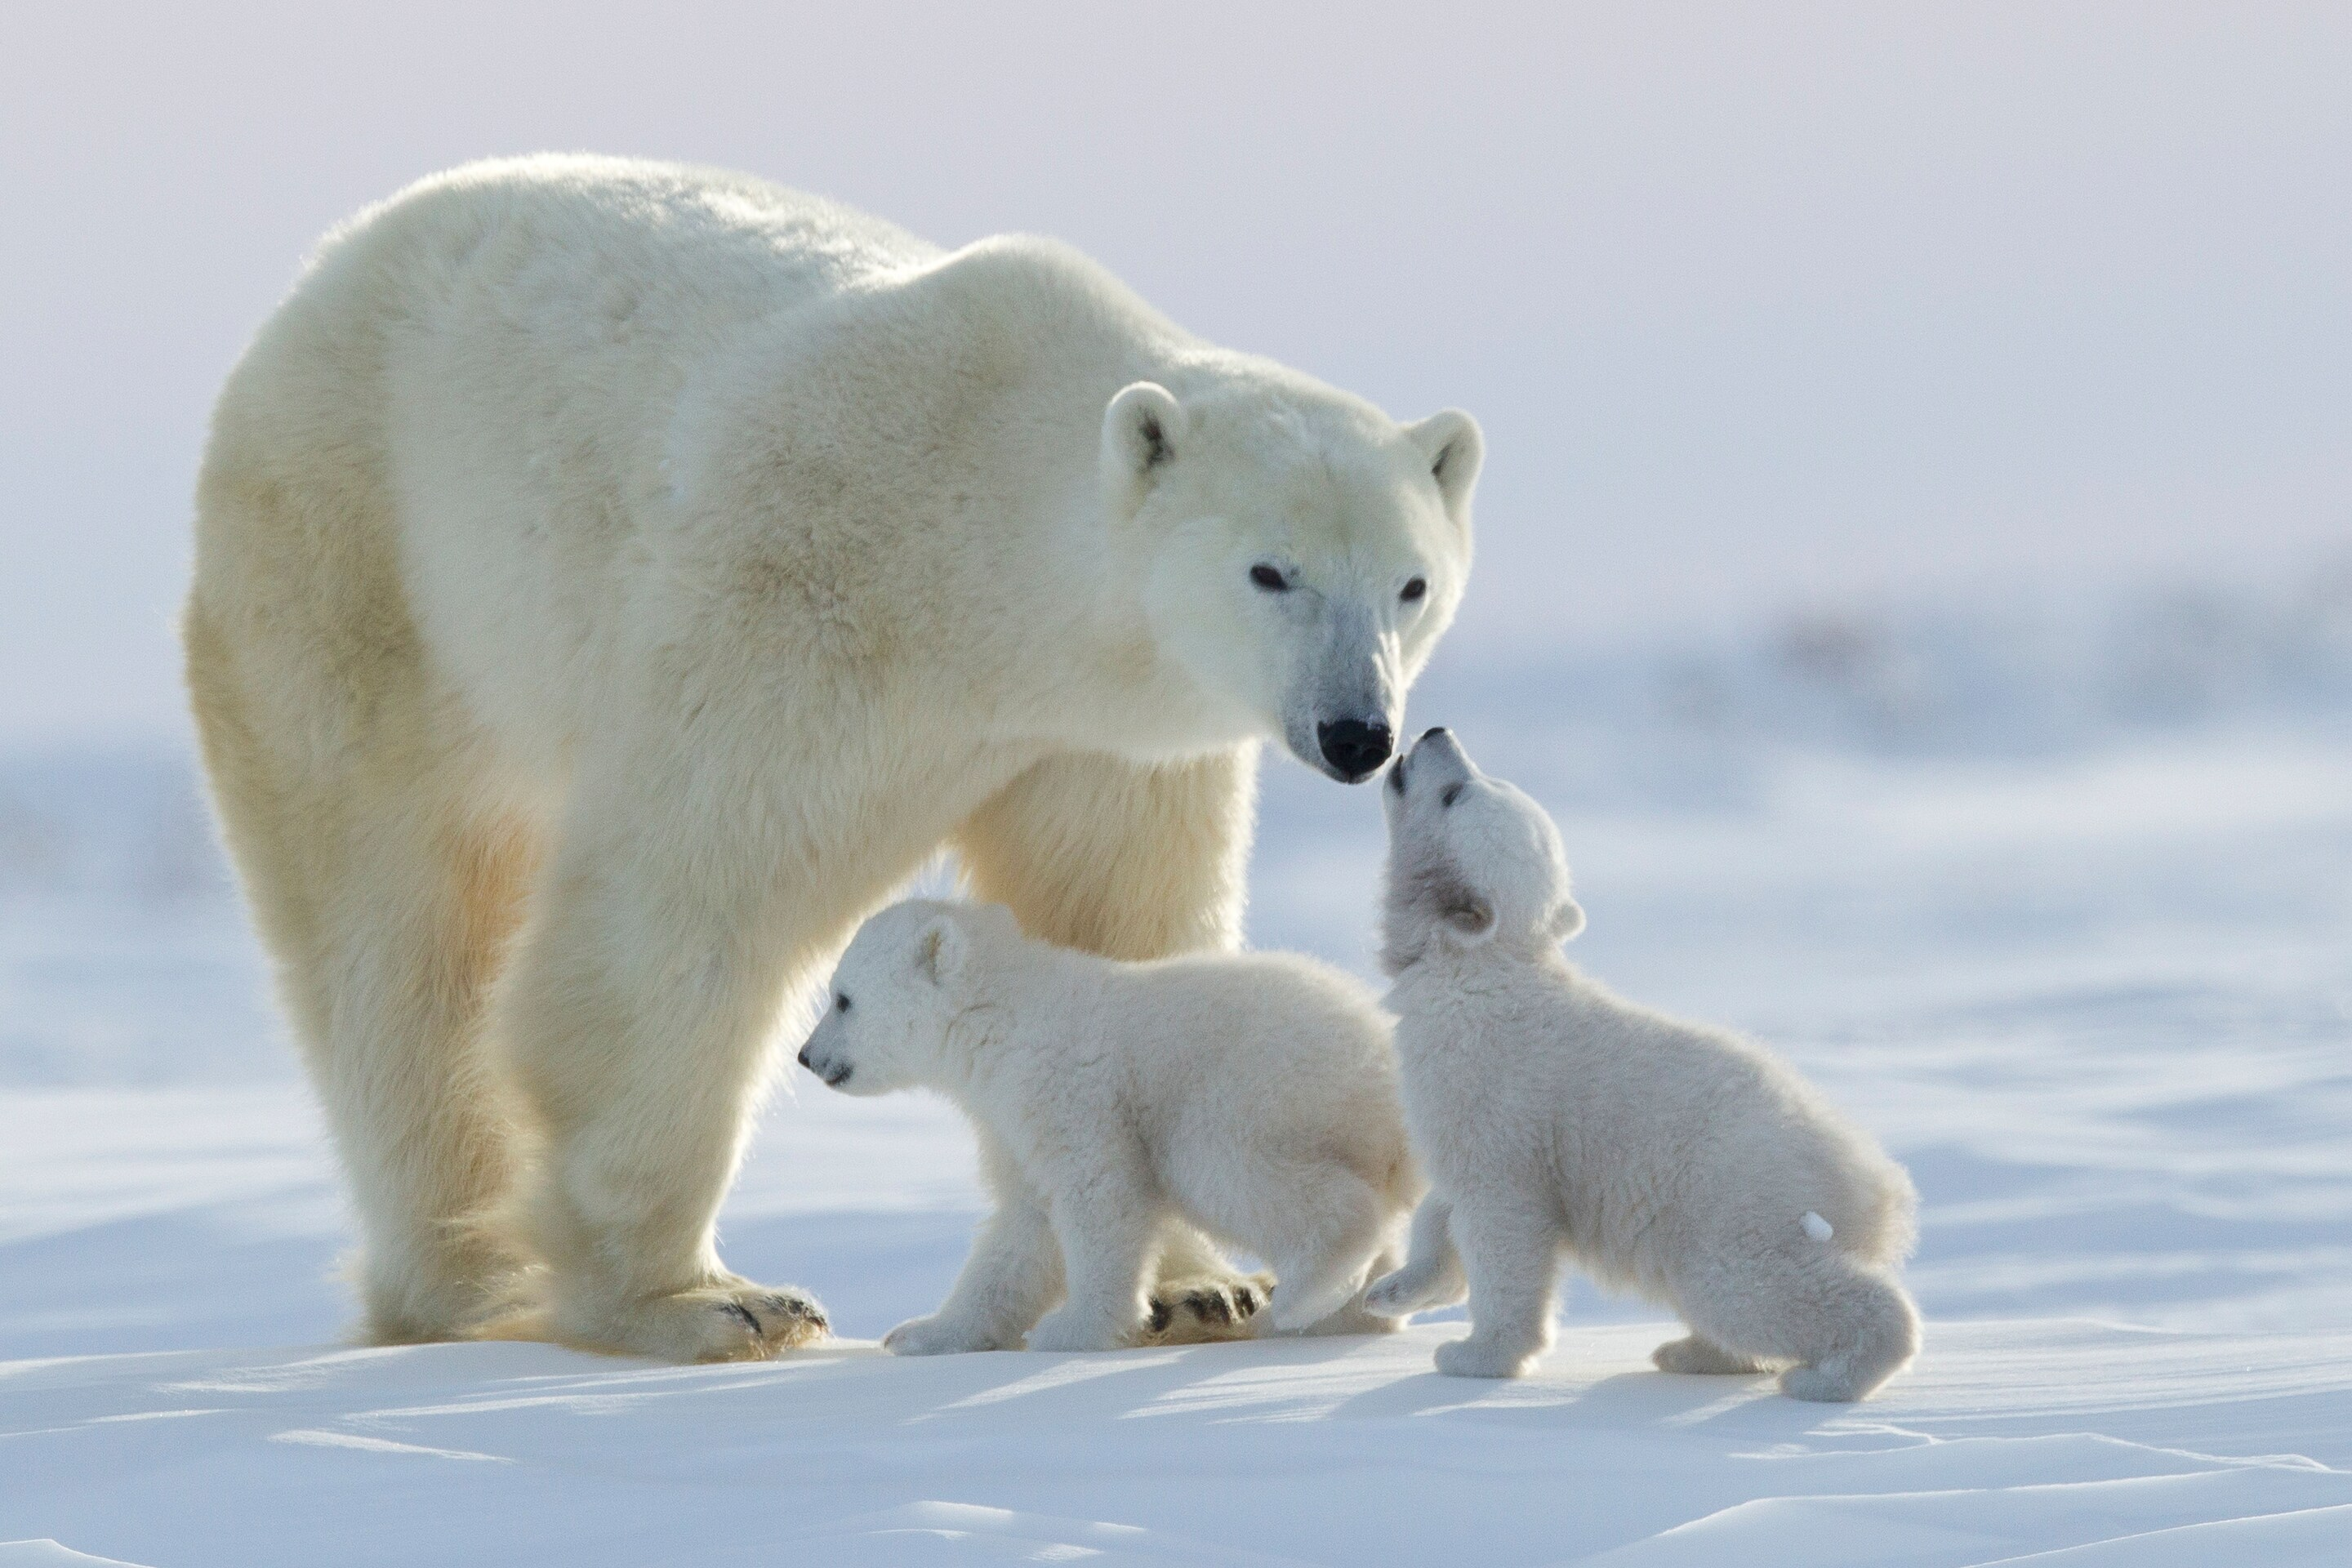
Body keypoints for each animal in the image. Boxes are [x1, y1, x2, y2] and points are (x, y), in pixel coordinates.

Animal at [800, 902, 1411, 1354]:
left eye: (843, 998)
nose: (806, 1056)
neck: (1002, 1020)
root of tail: (1384, 1062)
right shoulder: (1011, 1124)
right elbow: (1022, 1230)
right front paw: (921, 1333)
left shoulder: (1070, 1091)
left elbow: (1100, 1198)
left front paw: (1075, 1329)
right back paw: (1338, 1318)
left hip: (1263, 1088)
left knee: (1226, 1165)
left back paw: (1304, 1294)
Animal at [1373, 728, 1919, 1401]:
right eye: (1476, 780)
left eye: (1456, 793)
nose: (1434, 733)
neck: (1477, 973)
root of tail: (1875, 1188)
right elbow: (1442, 1202)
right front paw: (1396, 1288)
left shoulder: (1495, 1102)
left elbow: (1503, 1225)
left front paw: (1475, 1354)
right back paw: (1692, 1352)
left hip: (1729, 1202)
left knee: (1749, 1287)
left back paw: (1828, 1376)